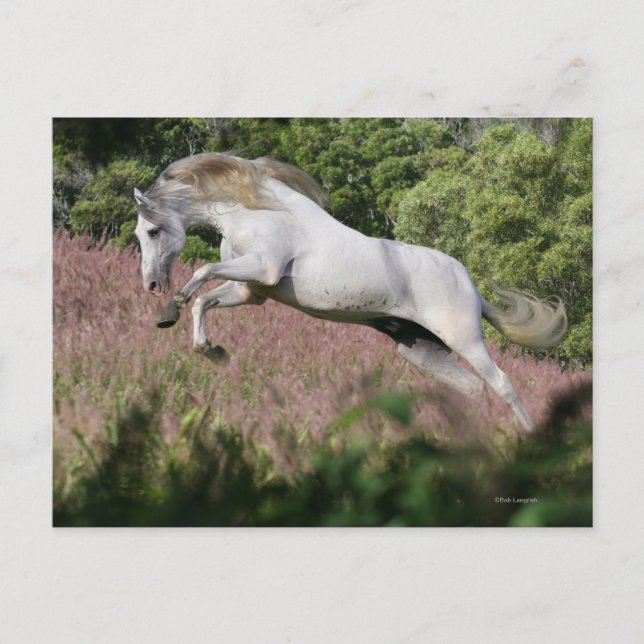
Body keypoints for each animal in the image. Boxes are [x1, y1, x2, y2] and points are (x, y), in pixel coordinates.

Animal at [134, 152, 567, 432]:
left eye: (153, 230)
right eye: (140, 233)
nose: (151, 285)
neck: (258, 211)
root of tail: (472, 287)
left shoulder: (263, 268)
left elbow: (202, 272)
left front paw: (171, 309)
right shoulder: (250, 291)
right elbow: (204, 300)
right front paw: (209, 348)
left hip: (465, 340)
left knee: (502, 384)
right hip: (421, 350)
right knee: (473, 389)